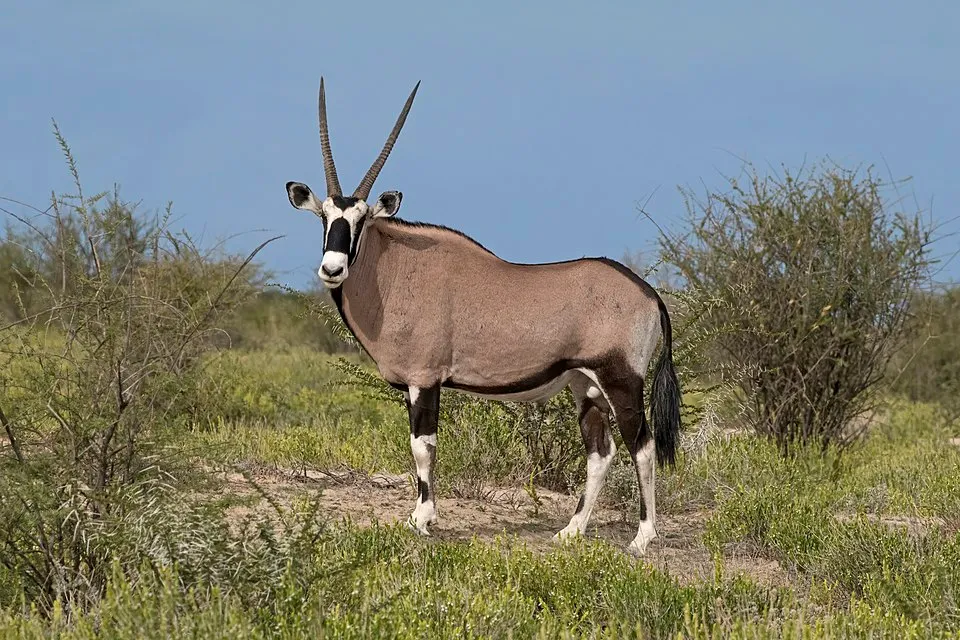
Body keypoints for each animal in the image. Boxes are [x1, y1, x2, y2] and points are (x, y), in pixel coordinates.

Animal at [284, 79, 681, 555]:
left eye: (361, 220)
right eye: (324, 216)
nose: (332, 269)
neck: (396, 267)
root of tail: (648, 293)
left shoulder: (424, 380)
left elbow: (423, 446)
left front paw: (422, 519)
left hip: (621, 382)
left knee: (642, 446)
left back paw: (642, 538)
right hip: (585, 386)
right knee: (600, 452)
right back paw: (571, 530)